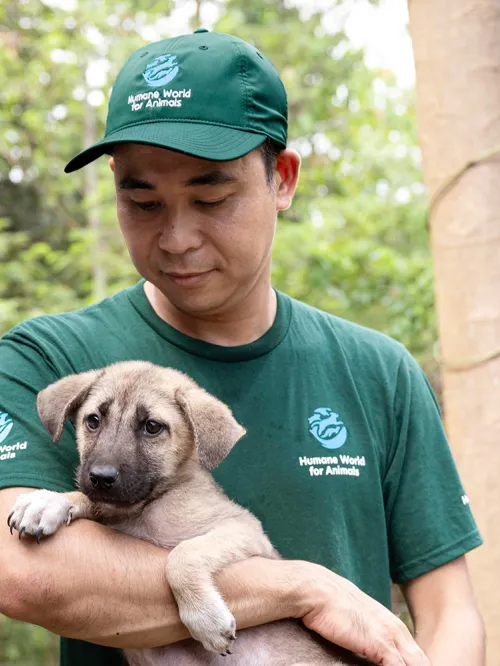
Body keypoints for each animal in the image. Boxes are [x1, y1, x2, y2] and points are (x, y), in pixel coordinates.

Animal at [8, 364, 372, 664]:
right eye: (93, 421)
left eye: (152, 427)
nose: (101, 476)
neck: (146, 508)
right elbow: (87, 500)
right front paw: (46, 502)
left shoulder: (245, 529)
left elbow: (183, 554)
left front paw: (206, 620)